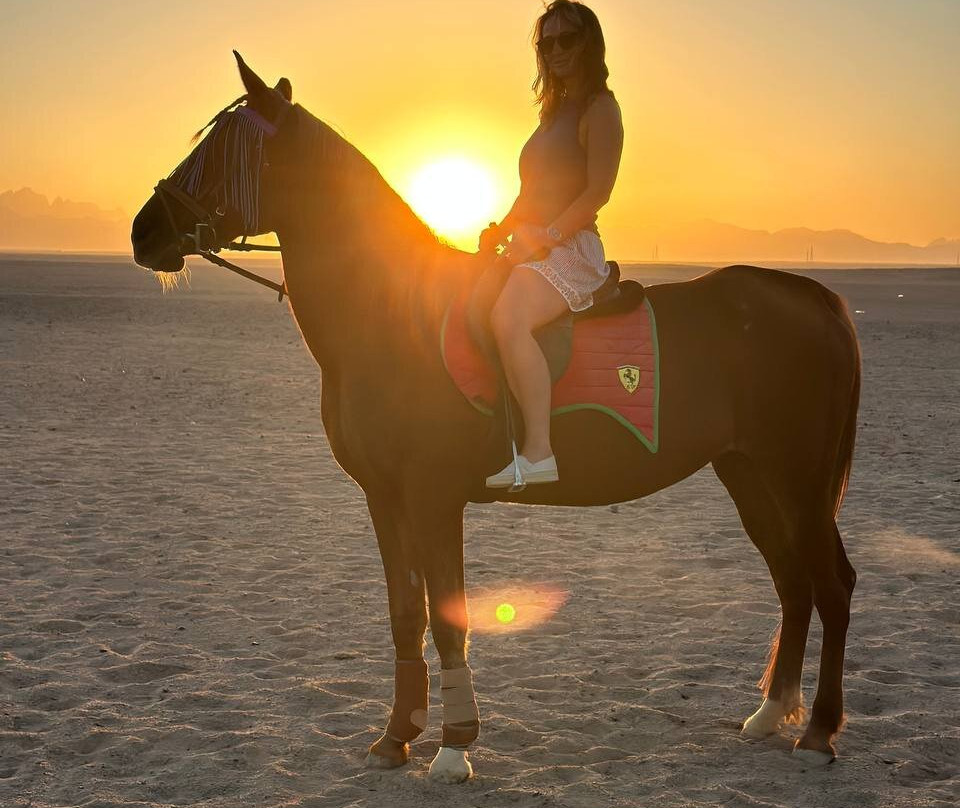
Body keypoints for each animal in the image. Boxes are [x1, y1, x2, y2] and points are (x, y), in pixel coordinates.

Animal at [131, 53, 861, 783]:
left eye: (220, 152)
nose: (144, 232)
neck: (392, 314)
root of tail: (810, 297)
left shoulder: (433, 497)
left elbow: (450, 618)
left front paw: (455, 746)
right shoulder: (383, 496)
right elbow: (406, 613)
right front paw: (396, 735)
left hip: (796, 478)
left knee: (831, 583)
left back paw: (819, 729)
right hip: (750, 475)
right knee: (793, 581)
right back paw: (771, 713)